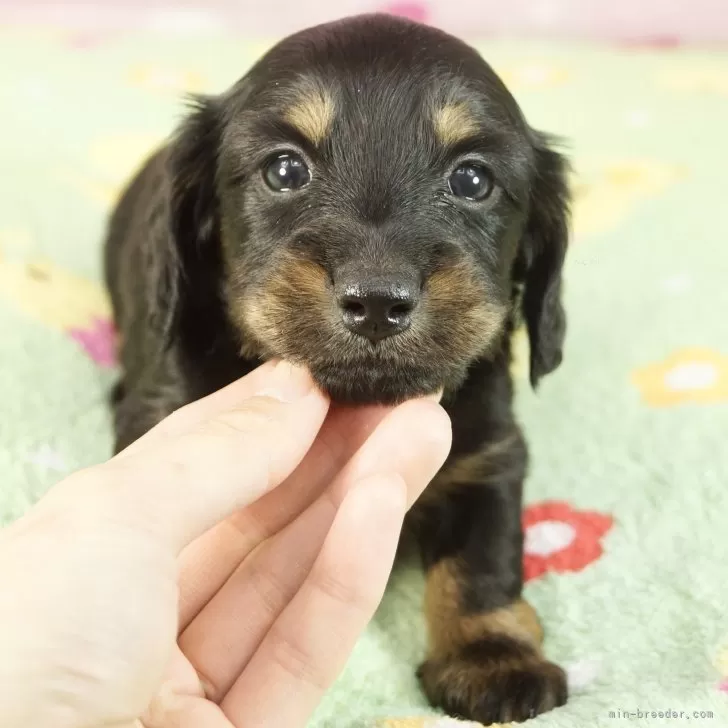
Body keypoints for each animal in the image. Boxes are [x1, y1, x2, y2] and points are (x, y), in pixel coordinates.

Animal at [104, 12, 568, 728]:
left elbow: (483, 558)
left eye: (472, 180)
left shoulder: (489, 452)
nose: (376, 301)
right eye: (285, 168)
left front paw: (493, 658)